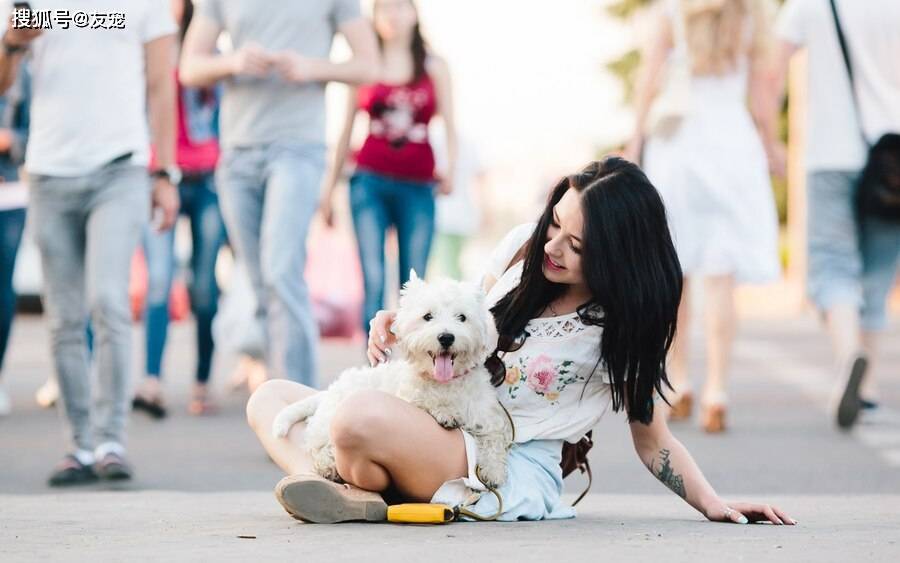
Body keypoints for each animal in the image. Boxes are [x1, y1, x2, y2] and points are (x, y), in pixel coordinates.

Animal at [272, 274, 512, 490]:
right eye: (427, 316)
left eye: (462, 317)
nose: (446, 337)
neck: (446, 384)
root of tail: (332, 388)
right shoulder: (408, 397)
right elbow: (425, 401)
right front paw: (445, 411)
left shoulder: (485, 415)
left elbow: (494, 438)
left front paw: (493, 470)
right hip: (329, 420)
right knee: (317, 446)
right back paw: (327, 467)